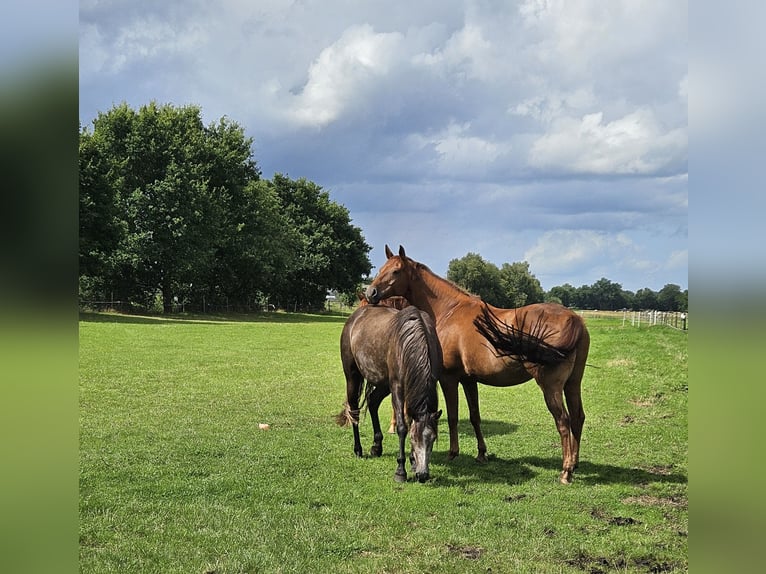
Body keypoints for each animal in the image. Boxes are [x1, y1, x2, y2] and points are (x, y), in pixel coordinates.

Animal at [337, 303, 443, 482]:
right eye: (413, 439)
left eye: (433, 439)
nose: (423, 475)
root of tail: (355, 317)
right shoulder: (397, 388)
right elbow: (402, 427)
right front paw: (400, 470)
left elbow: (409, 420)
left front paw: (413, 462)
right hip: (352, 376)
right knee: (354, 410)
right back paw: (358, 449)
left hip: (383, 383)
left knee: (372, 402)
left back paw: (376, 447)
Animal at [365, 245, 590, 484]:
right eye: (381, 268)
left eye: (396, 271)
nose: (371, 293)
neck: (449, 309)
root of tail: (575, 320)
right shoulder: (469, 380)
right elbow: (475, 417)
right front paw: (481, 454)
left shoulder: (449, 379)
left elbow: (453, 417)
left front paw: (453, 453)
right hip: (572, 384)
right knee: (577, 417)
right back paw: (574, 463)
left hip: (551, 387)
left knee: (564, 422)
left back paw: (565, 472)